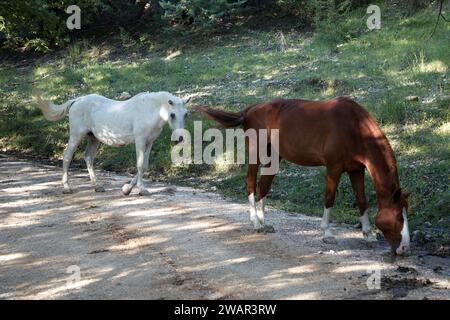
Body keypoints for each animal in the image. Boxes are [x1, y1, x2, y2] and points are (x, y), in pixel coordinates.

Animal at [35, 90, 188, 195]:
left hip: (93, 138)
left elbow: (144, 165)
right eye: (172, 114)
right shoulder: (140, 141)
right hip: (76, 135)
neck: (150, 110)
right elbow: (139, 165)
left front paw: (127, 189)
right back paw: (67, 187)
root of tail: (77, 100)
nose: (179, 139)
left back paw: (97, 186)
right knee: (67, 156)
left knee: (88, 157)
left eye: (186, 114)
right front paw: (141, 190)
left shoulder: (149, 142)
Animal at [197, 97, 412, 255]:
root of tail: (249, 110)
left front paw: (367, 235)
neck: (354, 126)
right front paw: (327, 233)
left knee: (263, 186)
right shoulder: (334, 167)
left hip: (274, 157)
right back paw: (256, 223)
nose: (404, 248)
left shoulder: (356, 170)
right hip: (256, 154)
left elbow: (362, 201)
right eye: (398, 217)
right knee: (250, 183)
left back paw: (265, 223)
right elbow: (329, 198)